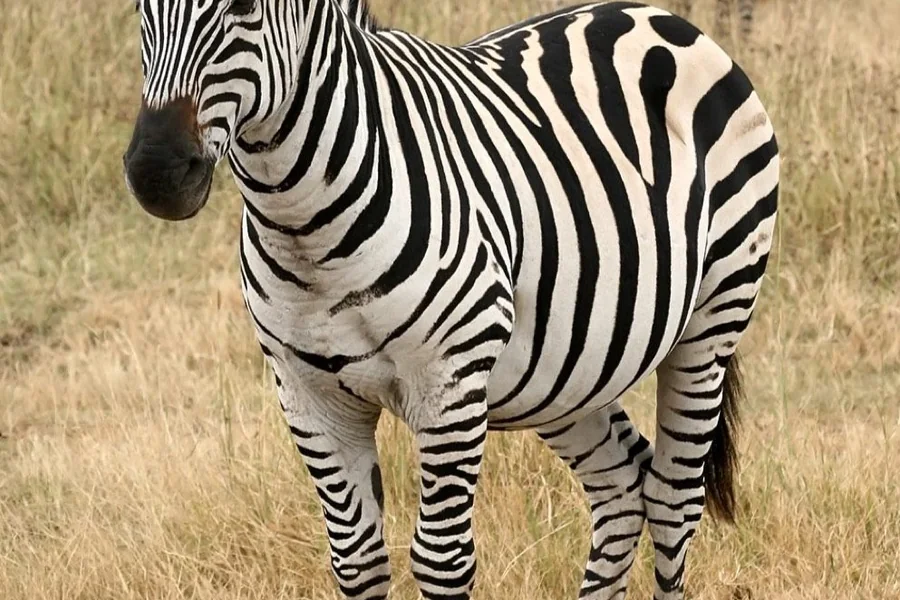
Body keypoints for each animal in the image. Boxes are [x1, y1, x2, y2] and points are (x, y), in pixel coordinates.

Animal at [122, 1, 779, 599]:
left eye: (243, 7)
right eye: (139, 8)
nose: (155, 173)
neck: (303, 227)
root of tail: (656, 15)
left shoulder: (451, 385)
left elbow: (441, 561)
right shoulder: (307, 394)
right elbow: (357, 561)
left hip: (713, 319)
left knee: (673, 499)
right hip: (566, 370)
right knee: (620, 482)